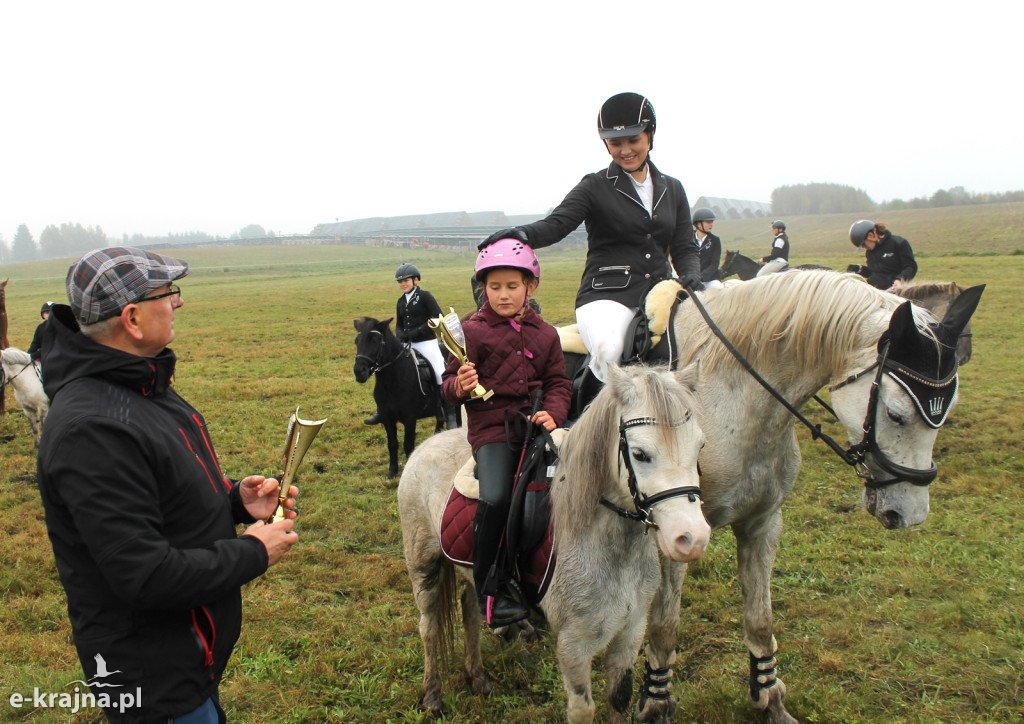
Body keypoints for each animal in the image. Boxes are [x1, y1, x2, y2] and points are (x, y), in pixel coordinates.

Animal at [354, 317, 446, 481]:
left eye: (375, 340)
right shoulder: (387, 418)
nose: (359, 372)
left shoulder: (410, 419)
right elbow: (392, 444)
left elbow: (408, 445)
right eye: (356, 341)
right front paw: (392, 472)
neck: (392, 381)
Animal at [395, 364, 708, 724]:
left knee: (471, 612)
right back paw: (432, 695)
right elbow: (582, 710)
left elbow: (619, 699)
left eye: (700, 446)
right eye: (640, 454)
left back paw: (479, 678)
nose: (692, 539)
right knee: (429, 627)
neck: (606, 547)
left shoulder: (630, 632)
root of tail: (428, 445)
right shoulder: (574, 644)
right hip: (424, 567)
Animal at [630, 268, 983, 720]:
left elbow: (760, 620)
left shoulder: (763, 524)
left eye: (947, 409)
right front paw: (656, 702)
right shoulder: (674, 535)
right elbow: (664, 627)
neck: (724, 396)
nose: (910, 513)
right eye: (896, 414)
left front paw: (769, 699)